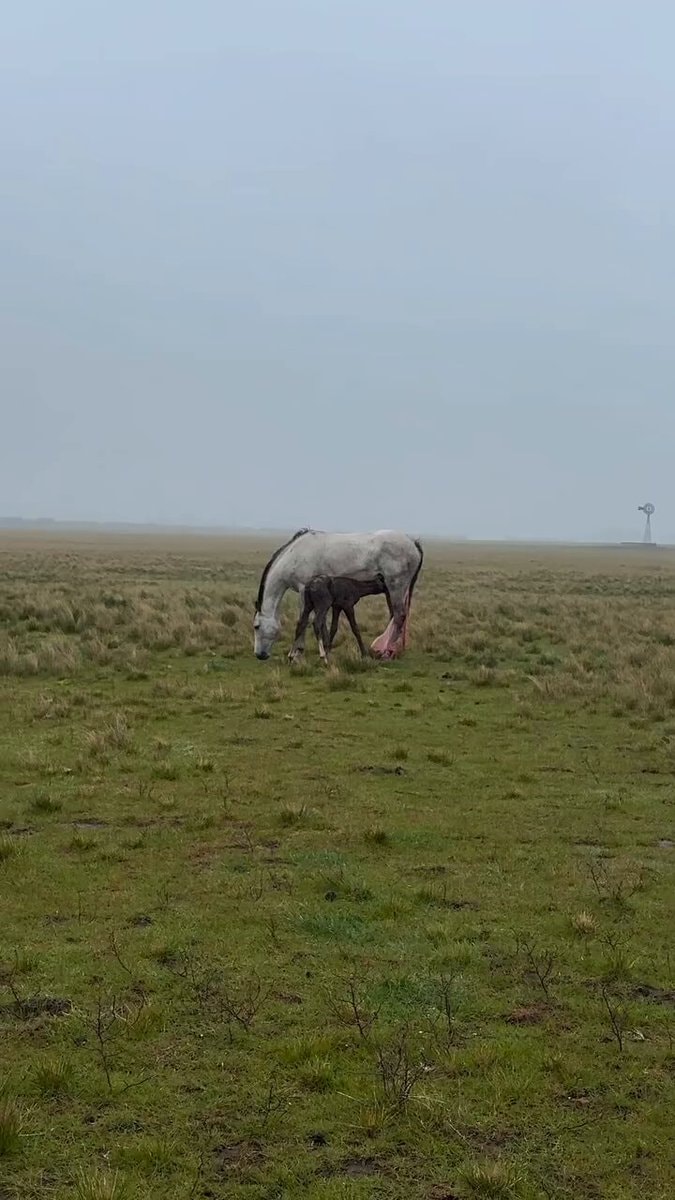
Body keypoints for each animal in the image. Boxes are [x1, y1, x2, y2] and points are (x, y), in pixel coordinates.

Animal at [253, 529, 423, 661]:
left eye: (256, 626)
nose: (260, 655)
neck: (296, 554)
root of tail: (412, 542)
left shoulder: (303, 590)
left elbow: (303, 622)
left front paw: (297, 654)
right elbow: (322, 624)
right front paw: (325, 650)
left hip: (396, 587)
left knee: (399, 616)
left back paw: (386, 652)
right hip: (392, 589)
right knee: (394, 616)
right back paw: (390, 650)